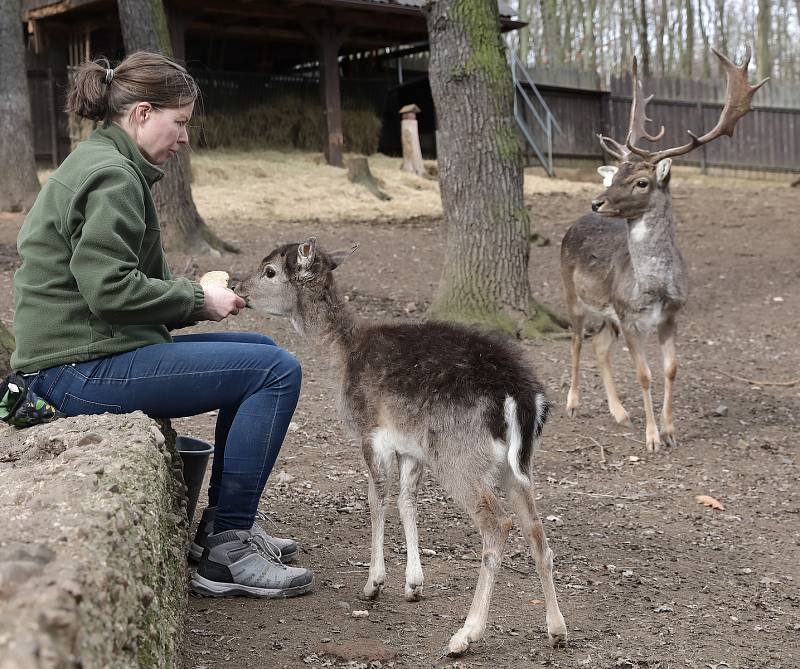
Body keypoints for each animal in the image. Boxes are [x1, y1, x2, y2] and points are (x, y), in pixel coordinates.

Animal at [236, 239, 568, 652]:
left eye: (269, 270)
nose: (237, 287)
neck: (343, 356)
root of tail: (522, 397)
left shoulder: (371, 433)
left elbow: (376, 500)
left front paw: (373, 584)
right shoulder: (411, 447)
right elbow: (407, 500)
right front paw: (413, 585)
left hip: (460, 457)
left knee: (498, 524)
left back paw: (465, 634)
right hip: (518, 466)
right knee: (538, 534)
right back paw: (557, 630)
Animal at [560, 49, 764, 452]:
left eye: (641, 181)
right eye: (616, 175)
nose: (597, 202)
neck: (652, 290)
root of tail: (573, 224)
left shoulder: (671, 316)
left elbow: (671, 369)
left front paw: (671, 432)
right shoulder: (629, 316)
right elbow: (644, 374)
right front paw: (652, 438)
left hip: (606, 314)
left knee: (599, 346)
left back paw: (620, 413)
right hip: (572, 293)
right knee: (576, 341)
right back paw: (573, 403)